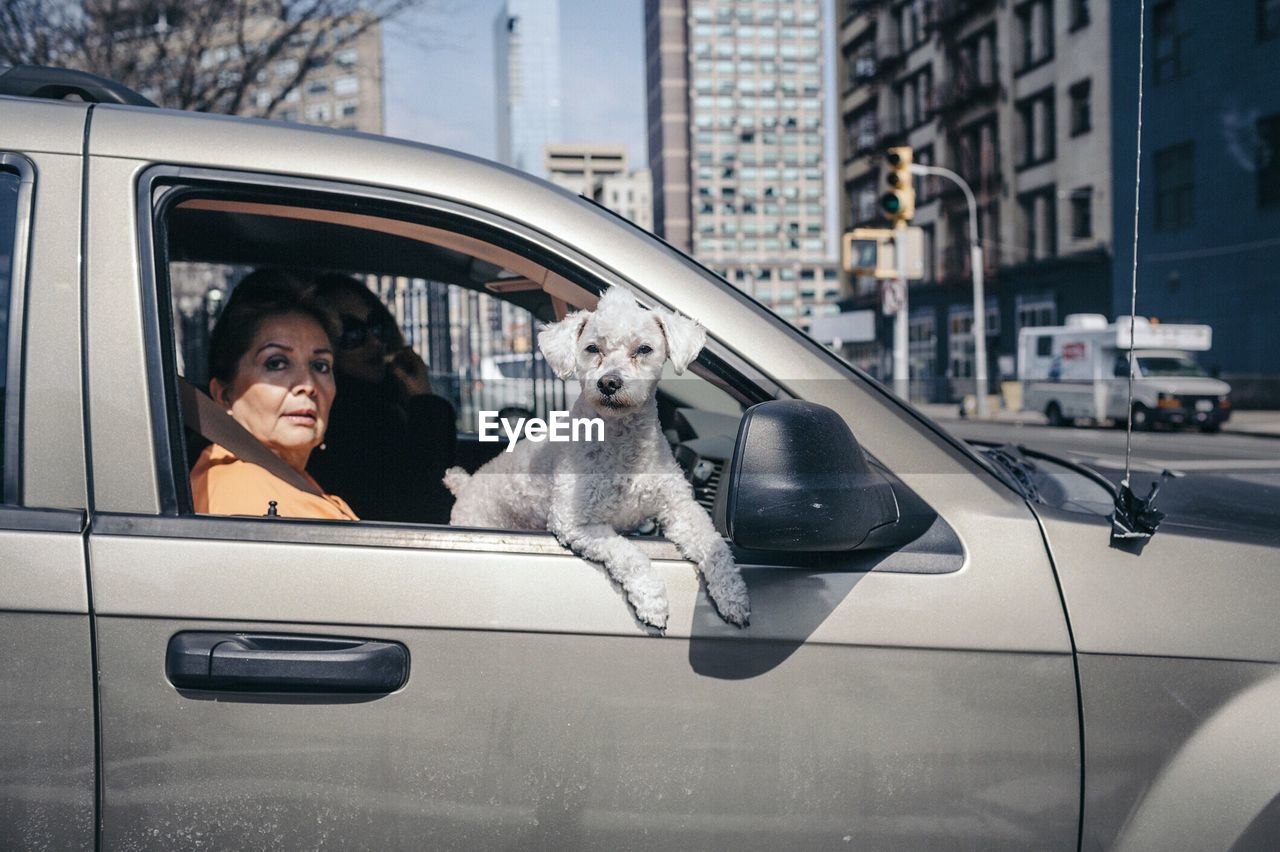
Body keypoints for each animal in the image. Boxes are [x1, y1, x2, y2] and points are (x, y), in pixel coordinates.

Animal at [448, 289, 747, 626]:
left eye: (643, 349)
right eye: (592, 348)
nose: (609, 382)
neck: (621, 441)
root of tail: (466, 484)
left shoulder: (680, 508)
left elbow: (715, 546)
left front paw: (733, 595)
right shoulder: (574, 523)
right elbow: (628, 553)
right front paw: (652, 599)